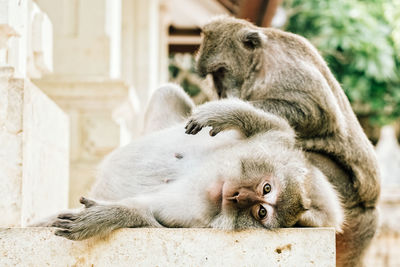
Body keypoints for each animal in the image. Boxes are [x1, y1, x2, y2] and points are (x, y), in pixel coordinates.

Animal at [49, 85, 344, 246]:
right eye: (267, 188)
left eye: (260, 212)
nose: (239, 196)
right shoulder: (274, 144)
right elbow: (276, 126)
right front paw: (220, 114)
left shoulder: (192, 222)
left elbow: (155, 221)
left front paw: (110, 216)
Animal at [193, 16, 378, 266]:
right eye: (214, 77)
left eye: (221, 72)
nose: (221, 93)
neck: (260, 65)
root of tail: (371, 209)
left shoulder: (286, 66)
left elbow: (317, 113)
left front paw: (222, 111)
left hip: (346, 192)